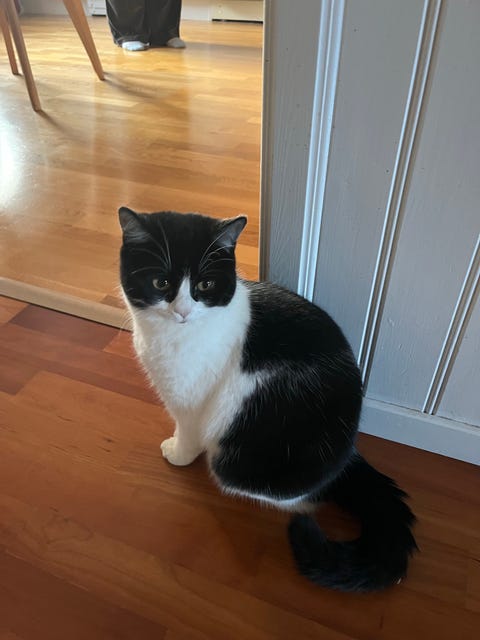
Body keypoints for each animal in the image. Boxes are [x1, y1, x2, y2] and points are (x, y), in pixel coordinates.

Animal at [119, 207, 417, 592]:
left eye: (205, 285)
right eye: (160, 283)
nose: (182, 311)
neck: (168, 336)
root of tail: (348, 453)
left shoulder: (189, 399)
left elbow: (187, 430)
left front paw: (178, 453)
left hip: (238, 461)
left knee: (294, 497)